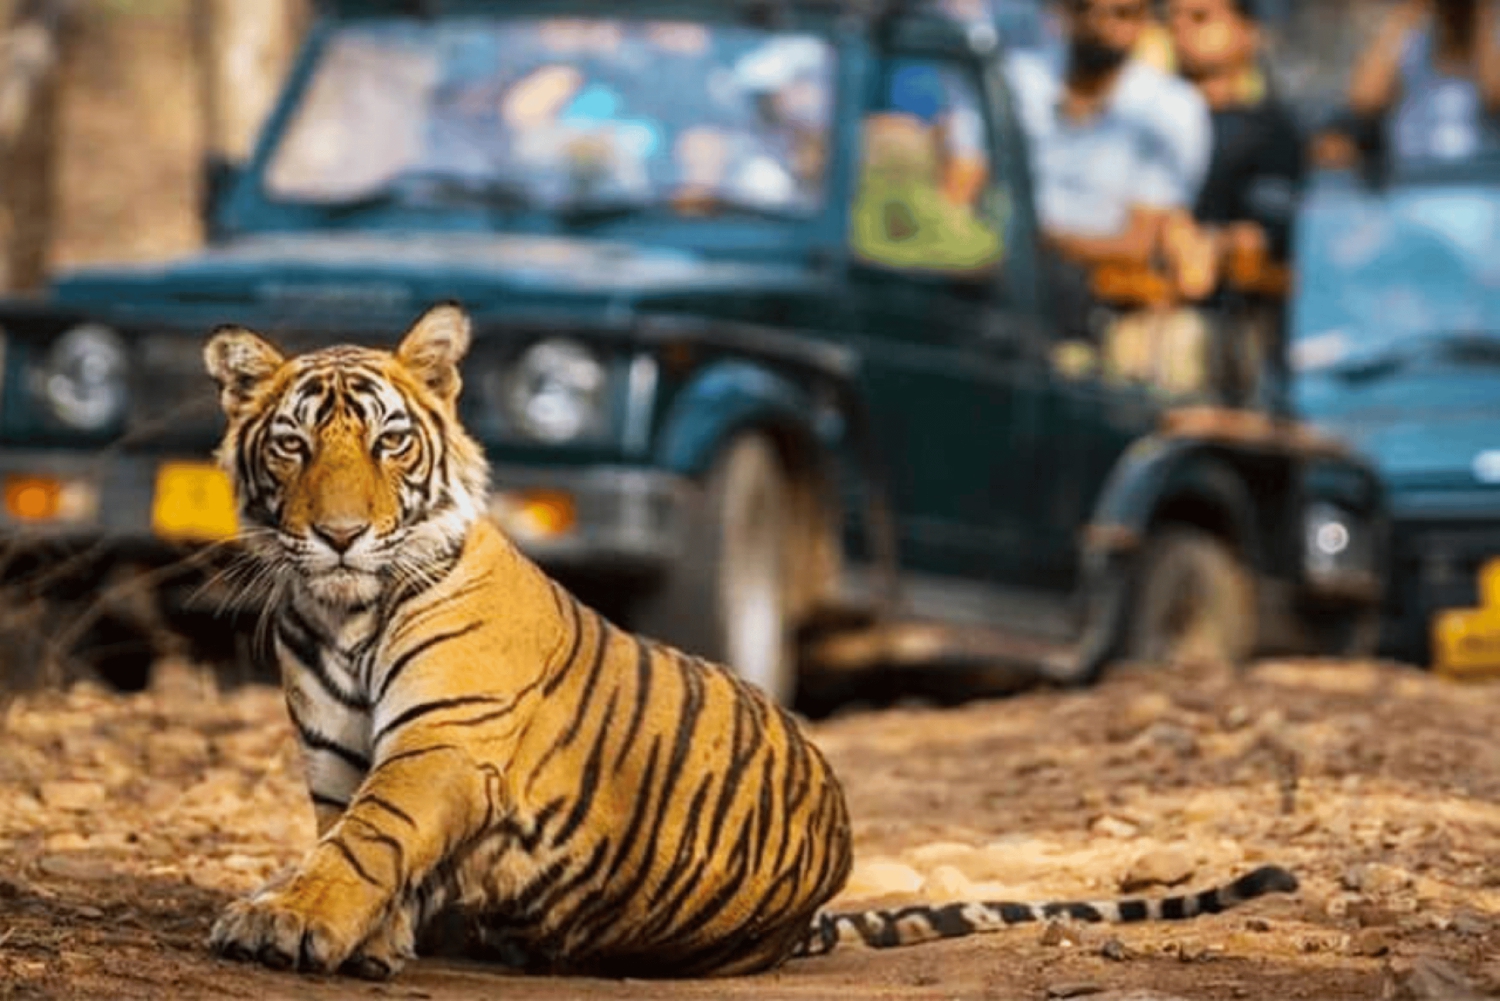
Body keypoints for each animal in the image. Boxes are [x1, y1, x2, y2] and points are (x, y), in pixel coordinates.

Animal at [201, 301, 1300, 980]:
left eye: (390, 441)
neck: (343, 611)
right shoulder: (337, 754)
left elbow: (366, 838)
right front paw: (360, 934)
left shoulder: (445, 741)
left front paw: (288, 921)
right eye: (292, 444)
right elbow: (346, 837)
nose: (341, 534)